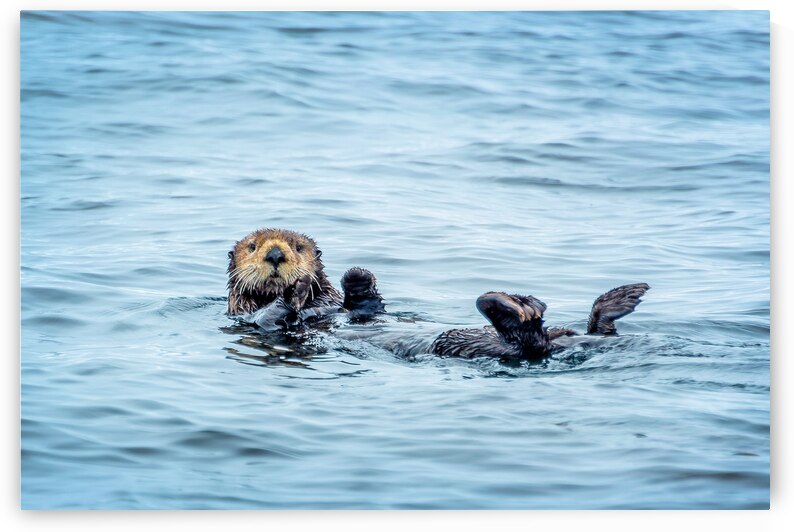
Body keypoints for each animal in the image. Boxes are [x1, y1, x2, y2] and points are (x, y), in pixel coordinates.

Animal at [226, 228, 384, 325]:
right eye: (252, 247)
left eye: (298, 247)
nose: (275, 255)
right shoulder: (245, 312)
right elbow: (264, 320)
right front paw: (293, 293)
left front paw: (357, 276)